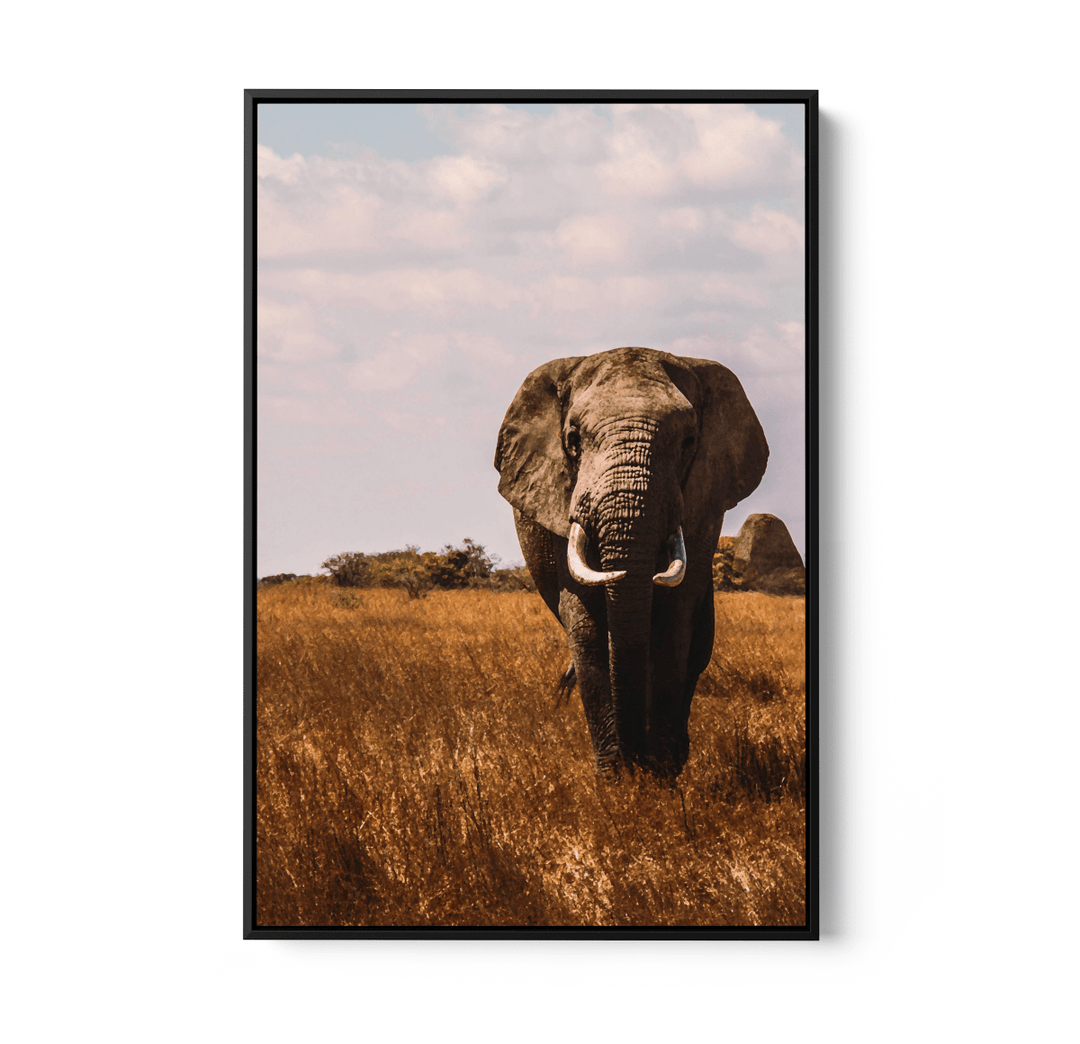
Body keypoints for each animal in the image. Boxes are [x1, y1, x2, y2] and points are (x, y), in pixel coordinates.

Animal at [495, 346, 768, 778]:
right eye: (573, 439)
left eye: (689, 441)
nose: (634, 762)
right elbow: (587, 626)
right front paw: (616, 780)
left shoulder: (703, 508)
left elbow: (675, 621)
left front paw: (660, 777)